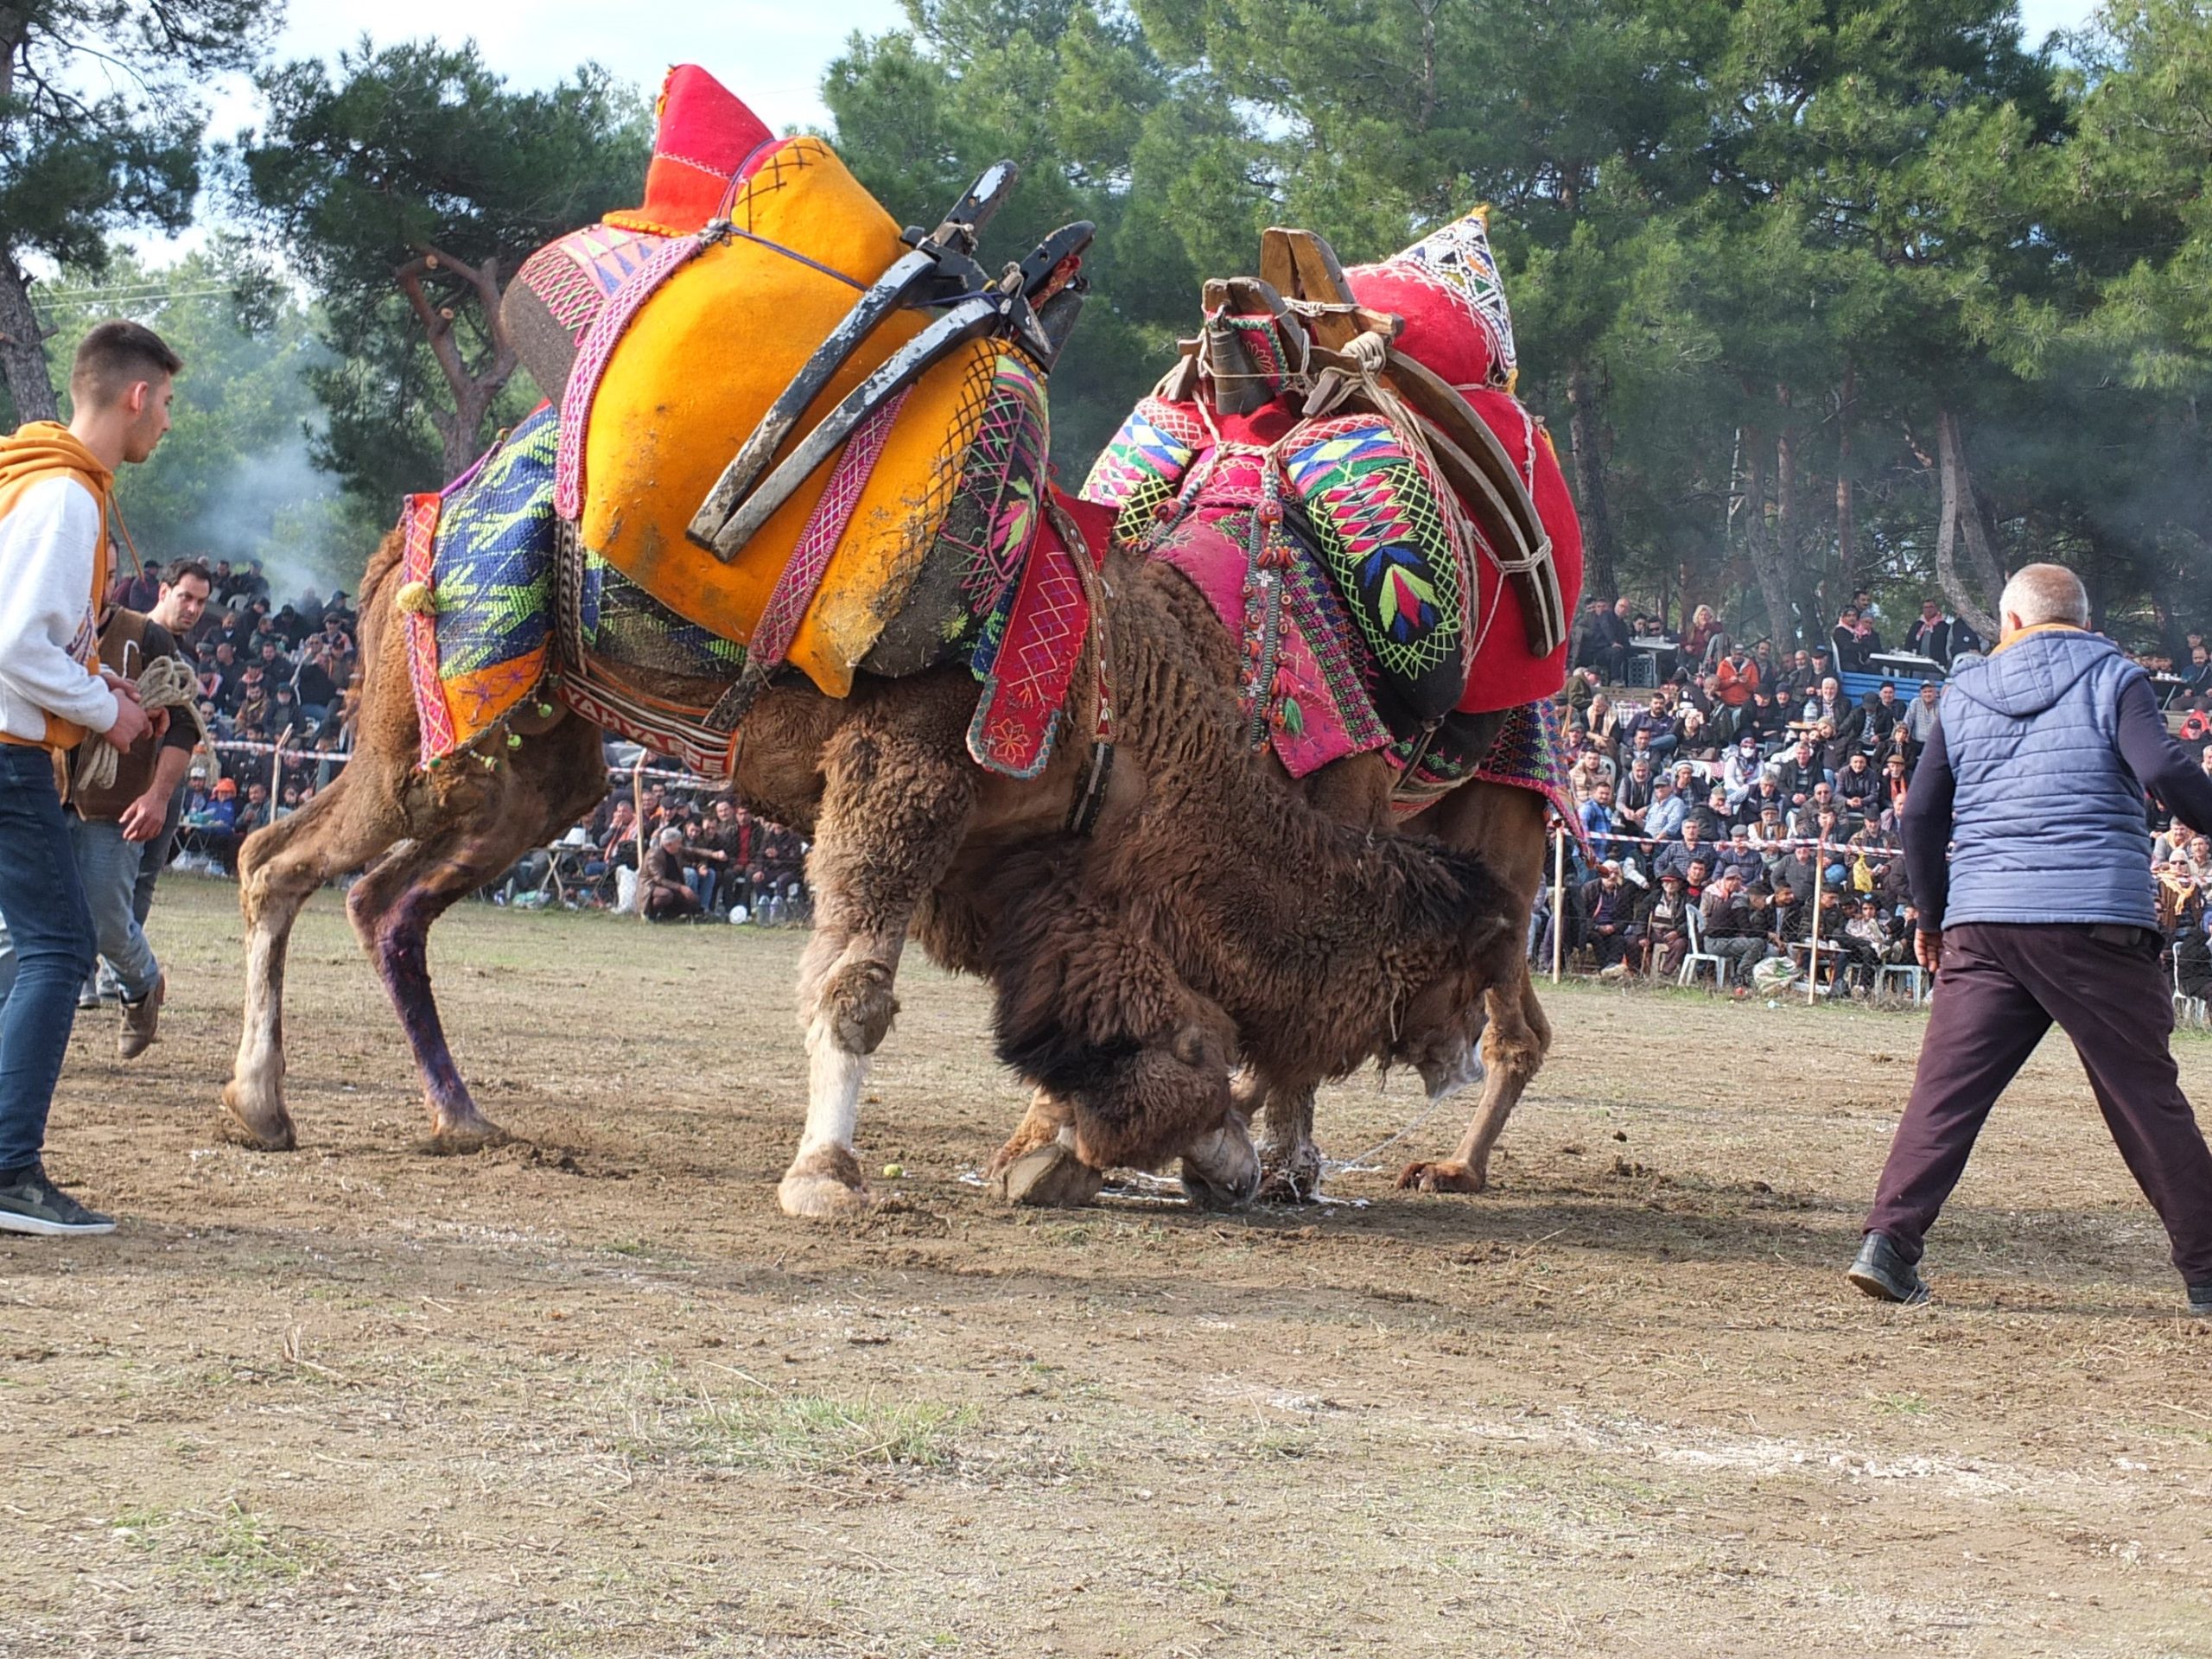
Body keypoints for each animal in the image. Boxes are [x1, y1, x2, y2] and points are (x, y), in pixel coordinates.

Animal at [219, 528, 1522, 1221]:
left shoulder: (1029, 878)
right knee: (271, 860)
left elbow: (1118, 1029)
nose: (1464, 1054)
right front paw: (826, 1175)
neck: (1141, 720)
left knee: (383, 898)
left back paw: (459, 1119)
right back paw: (261, 1107)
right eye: (1466, 975)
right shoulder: (906, 773)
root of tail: (394, 544)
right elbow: (856, 988)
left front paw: (1092, 1157)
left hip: (537, 767)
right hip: (417, 737)